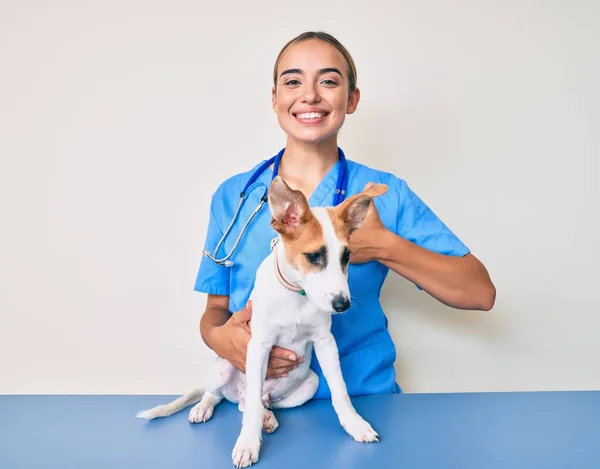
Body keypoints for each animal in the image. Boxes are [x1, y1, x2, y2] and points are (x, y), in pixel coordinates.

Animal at [136, 175, 386, 464]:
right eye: (314, 256)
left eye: (346, 257)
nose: (342, 305)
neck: (296, 294)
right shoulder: (259, 346)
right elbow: (251, 407)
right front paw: (248, 444)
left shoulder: (325, 342)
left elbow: (340, 390)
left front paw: (355, 424)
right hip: (222, 368)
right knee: (227, 396)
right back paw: (205, 407)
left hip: (309, 383)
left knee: (253, 403)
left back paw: (268, 416)